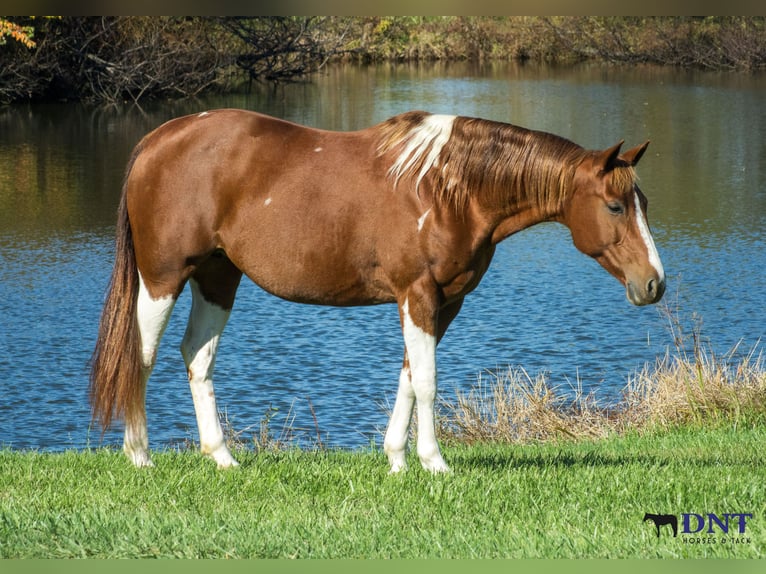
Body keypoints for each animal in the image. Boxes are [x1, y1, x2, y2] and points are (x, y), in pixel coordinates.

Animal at [90, 109, 665, 473]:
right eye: (616, 206)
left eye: (643, 203)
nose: (654, 284)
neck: (450, 190)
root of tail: (158, 140)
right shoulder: (419, 294)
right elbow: (428, 382)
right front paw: (435, 464)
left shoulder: (444, 302)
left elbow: (410, 377)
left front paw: (396, 460)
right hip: (164, 279)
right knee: (141, 357)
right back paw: (139, 454)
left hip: (217, 277)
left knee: (197, 357)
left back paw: (222, 457)